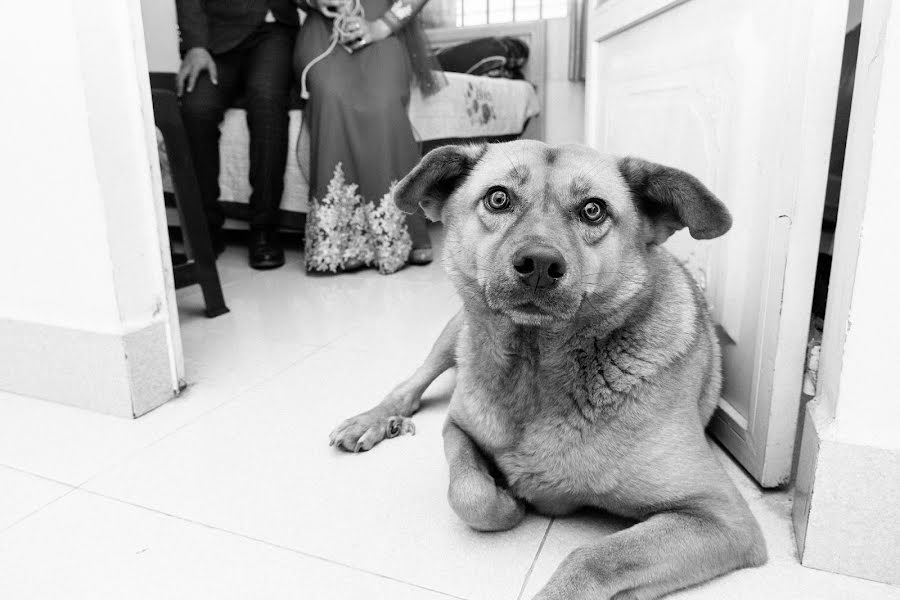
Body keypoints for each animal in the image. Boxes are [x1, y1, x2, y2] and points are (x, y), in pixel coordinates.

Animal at [328, 142, 768, 600]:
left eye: (593, 209)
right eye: (498, 198)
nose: (539, 264)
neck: (533, 365)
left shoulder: (719, 515)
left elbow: (595, 558)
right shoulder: (457, 426)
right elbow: (469, 493)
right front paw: (505, 500)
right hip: (453, 333)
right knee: (413, 382)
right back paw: (375, 419)